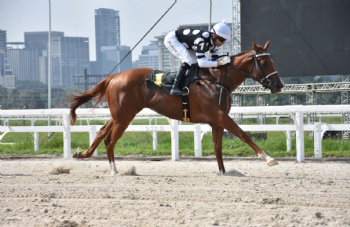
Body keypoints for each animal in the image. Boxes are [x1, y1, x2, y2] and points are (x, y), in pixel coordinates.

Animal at [70, 40, 284, 176]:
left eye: (272, 60)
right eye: (264, 62)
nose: (279, 85)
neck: (216, 80)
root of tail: (114, 76)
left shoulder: (216, 121)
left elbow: (218, 148)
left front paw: (224, 172)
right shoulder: (219, 115)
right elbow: (243, 134)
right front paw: (268, 158)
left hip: (119, 115)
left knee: (101, 132)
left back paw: (83, 154)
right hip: (124, 117)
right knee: (110, 140)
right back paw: (114, 170)